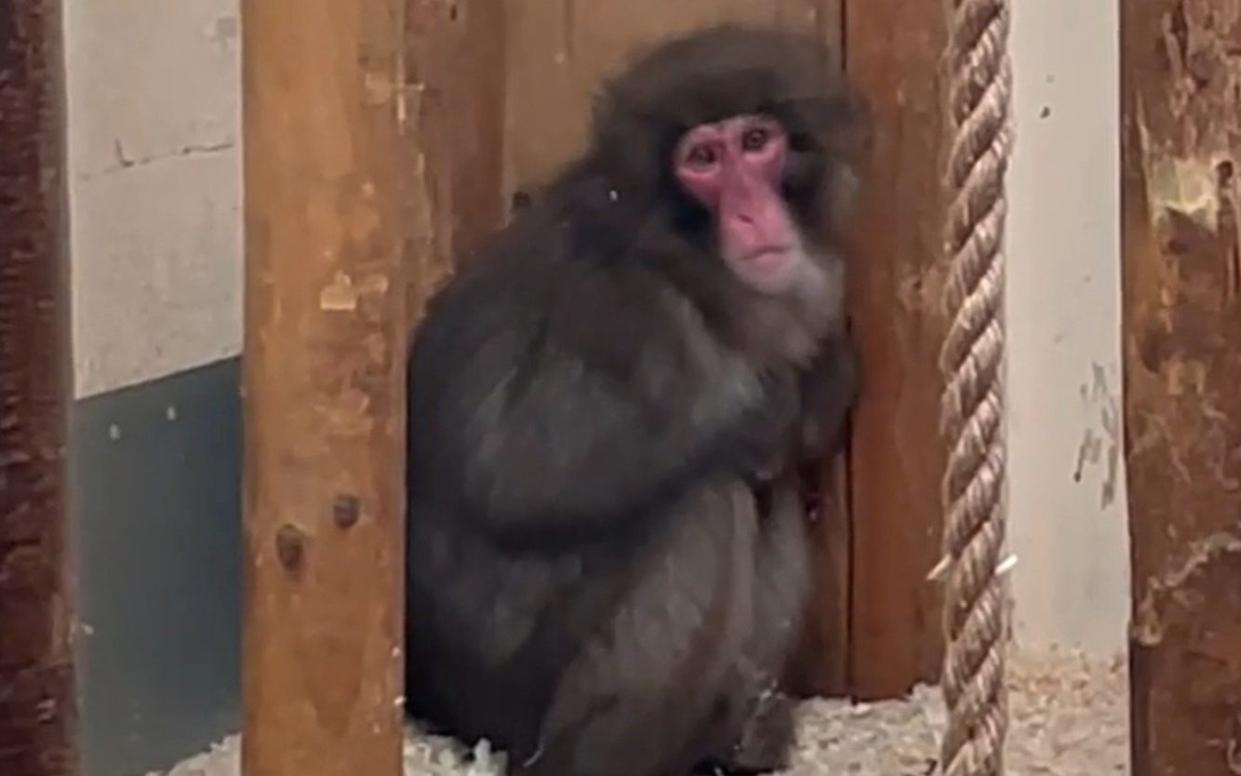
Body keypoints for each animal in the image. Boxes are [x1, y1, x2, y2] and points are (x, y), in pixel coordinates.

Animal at [404, 24, 863, 774]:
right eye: (702, 159)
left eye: (755, 142)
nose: (750, 210)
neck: (687, 255)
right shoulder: (626, 310)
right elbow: (521, 474)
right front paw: (766, 410)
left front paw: (818, 381)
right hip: (518, 697)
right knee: (710, 499)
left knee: (768, 492)